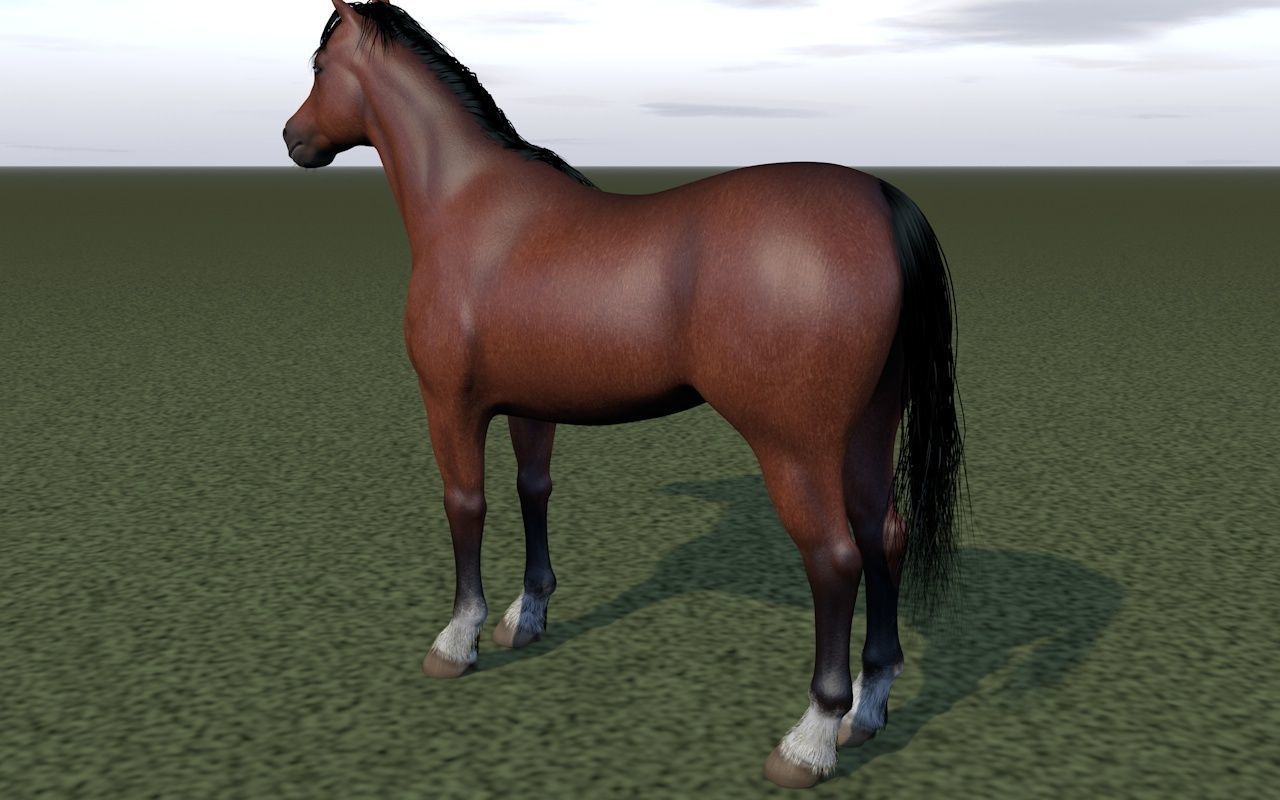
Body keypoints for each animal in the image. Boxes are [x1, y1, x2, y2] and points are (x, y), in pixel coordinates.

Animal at [284, 1, 966, 788]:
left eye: (320, 66)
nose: (293, 138)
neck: (470, 206)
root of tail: (881, 201)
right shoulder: (531, 406)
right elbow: (533, 492)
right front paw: (526, 617)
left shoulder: (449, 404)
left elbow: (466, 505)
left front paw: (458, 638)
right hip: (868, 429)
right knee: (885, 536)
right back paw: (868, 710)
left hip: (796, 446)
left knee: (835, 557)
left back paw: (810, 739)